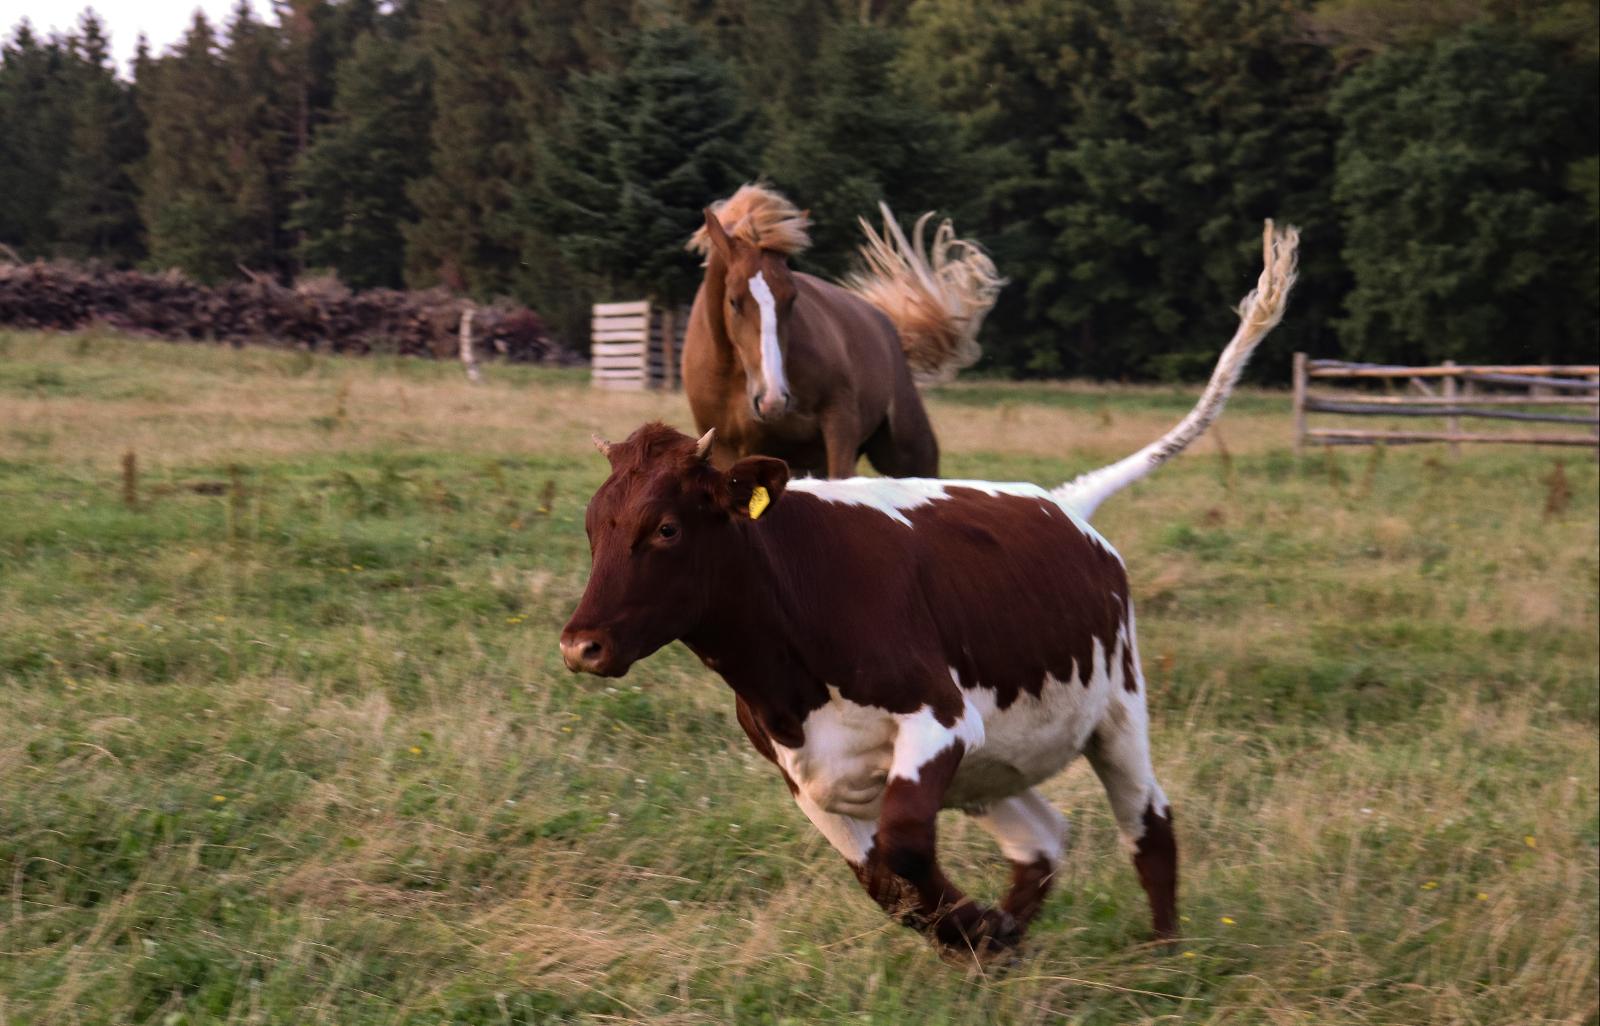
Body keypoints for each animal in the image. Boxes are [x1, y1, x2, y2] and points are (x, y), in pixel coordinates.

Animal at [563, 222, 1299, 953]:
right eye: (592, 526)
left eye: (666, 528)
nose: (580, 646)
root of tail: (1063, 502)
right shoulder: (814, 779)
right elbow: (885, 882)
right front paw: (981, 933)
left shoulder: (941, 720)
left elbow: (905, 847)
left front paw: (978, 927)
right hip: (993, 767)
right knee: (1043, 839)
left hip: (1117, 711)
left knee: (1149, 823)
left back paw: (1164, 952)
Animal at [684, 184, 998, 480]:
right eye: (734, 301)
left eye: (792, 298)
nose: (772, 399)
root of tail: (890, 330)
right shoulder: (725, 448)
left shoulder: (840, 423)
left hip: (907, 453)